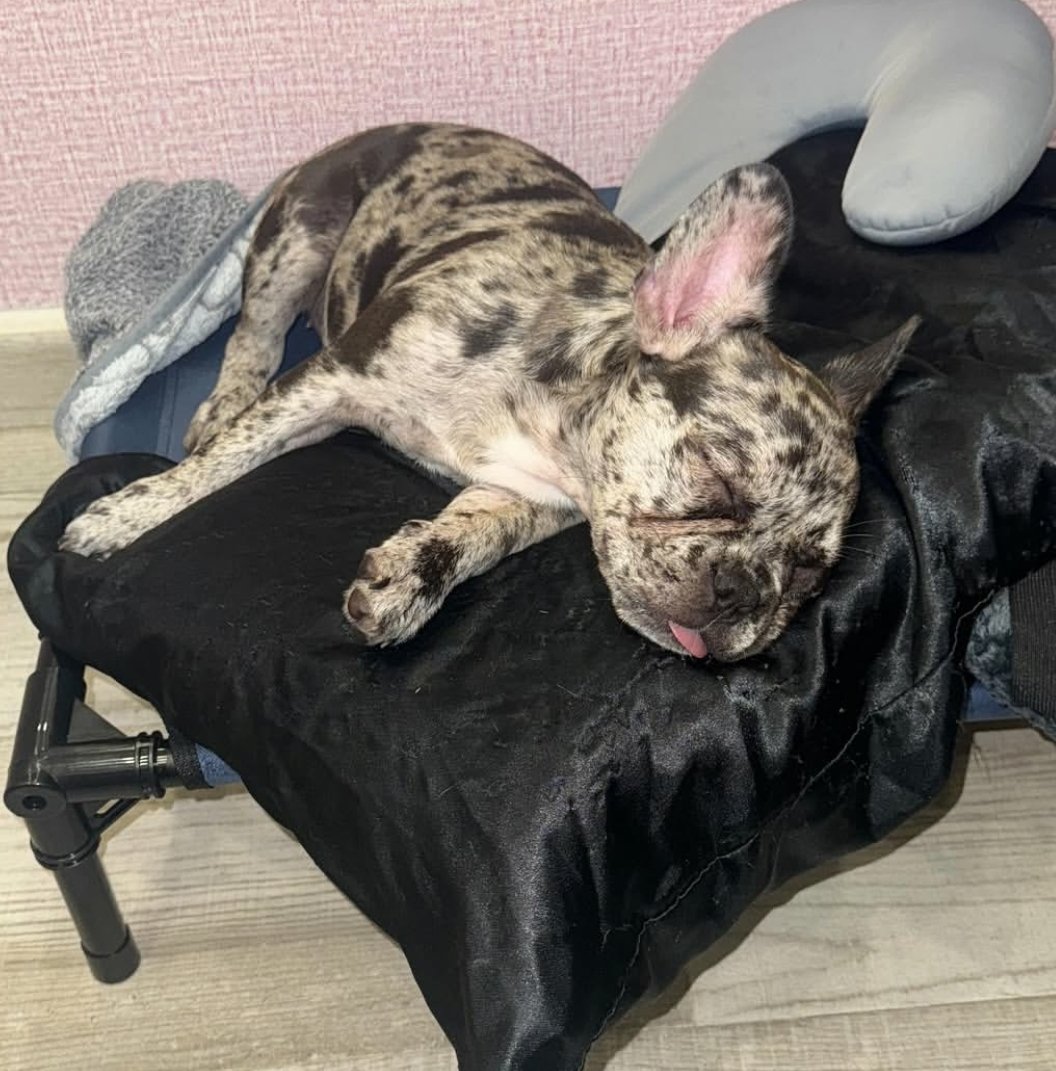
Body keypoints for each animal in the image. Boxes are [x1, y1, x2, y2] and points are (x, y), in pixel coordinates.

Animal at [60, 123, 918, 662]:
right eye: (716, 477)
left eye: (806, 578)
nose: (746, 592)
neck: (545, 419)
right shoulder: (332, 378)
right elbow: (221, 467)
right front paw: (130, 511)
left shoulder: (522, 495)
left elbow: (469, 537)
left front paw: (409, 578)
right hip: (297, 236)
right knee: (252, 336)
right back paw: (222, 400)